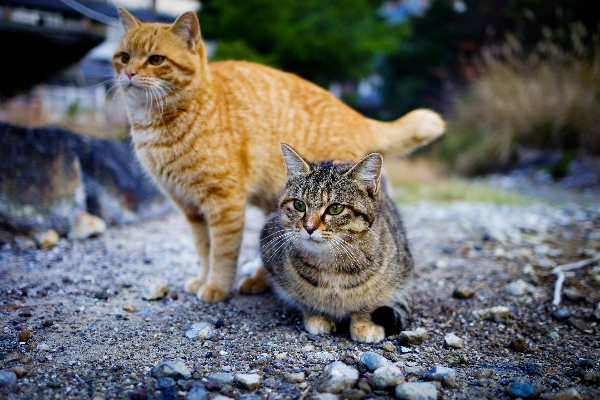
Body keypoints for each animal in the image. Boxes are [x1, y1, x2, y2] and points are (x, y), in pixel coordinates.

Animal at [112, 6, 442, 302]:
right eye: (124, 57)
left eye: (156, 60)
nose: (129, 72)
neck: (156, 124)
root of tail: (355, 113)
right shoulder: (190, 207)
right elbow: (204, 250)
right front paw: (203, 279)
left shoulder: (224, 203)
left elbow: (222, 252)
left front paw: (216, 287)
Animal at [239, 145, 412, 344]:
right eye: (299, 205)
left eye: (335, 208)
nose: (309, 227)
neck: (332, 266)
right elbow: (303, 298)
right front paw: (318, 315)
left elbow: (372, 302)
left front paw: (365, 323)